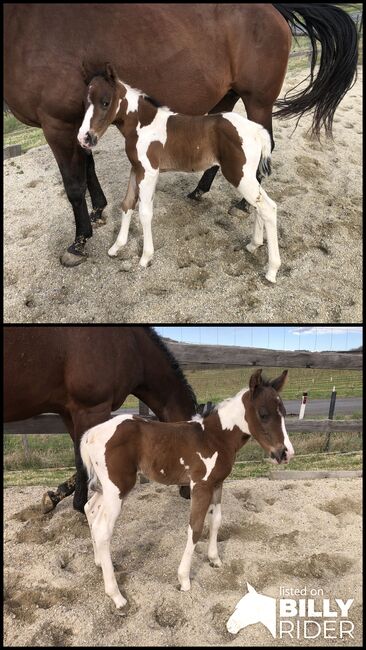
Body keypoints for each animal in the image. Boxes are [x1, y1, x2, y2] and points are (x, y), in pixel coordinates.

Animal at [78, 62, 282, 280]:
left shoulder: (149, 172)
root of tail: (257, 130)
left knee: (268, 208)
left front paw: (145, 257)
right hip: (248, 176)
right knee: (259, 206)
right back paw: (253, 245)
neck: (142, 125)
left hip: (239, 175)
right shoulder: (136, 169)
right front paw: (116, 247)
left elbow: (145, 212)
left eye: (105, 102)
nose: (84, 138)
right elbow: (127, 204)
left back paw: (271, 270)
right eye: (85, 103)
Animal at [81, 368, 294, 612]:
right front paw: (184, 579)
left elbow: (216, 520)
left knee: (90, 510)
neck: (216, 437)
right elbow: (196, 528)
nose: (285, 453)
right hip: (118, 487)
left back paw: (99, 562)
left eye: (284, 413)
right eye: (263, 414)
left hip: (106, 487)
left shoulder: (217, 484)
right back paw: (116, 596)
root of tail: (91, 434)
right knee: (103, 529)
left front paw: (214, 559)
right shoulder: (200, 485)